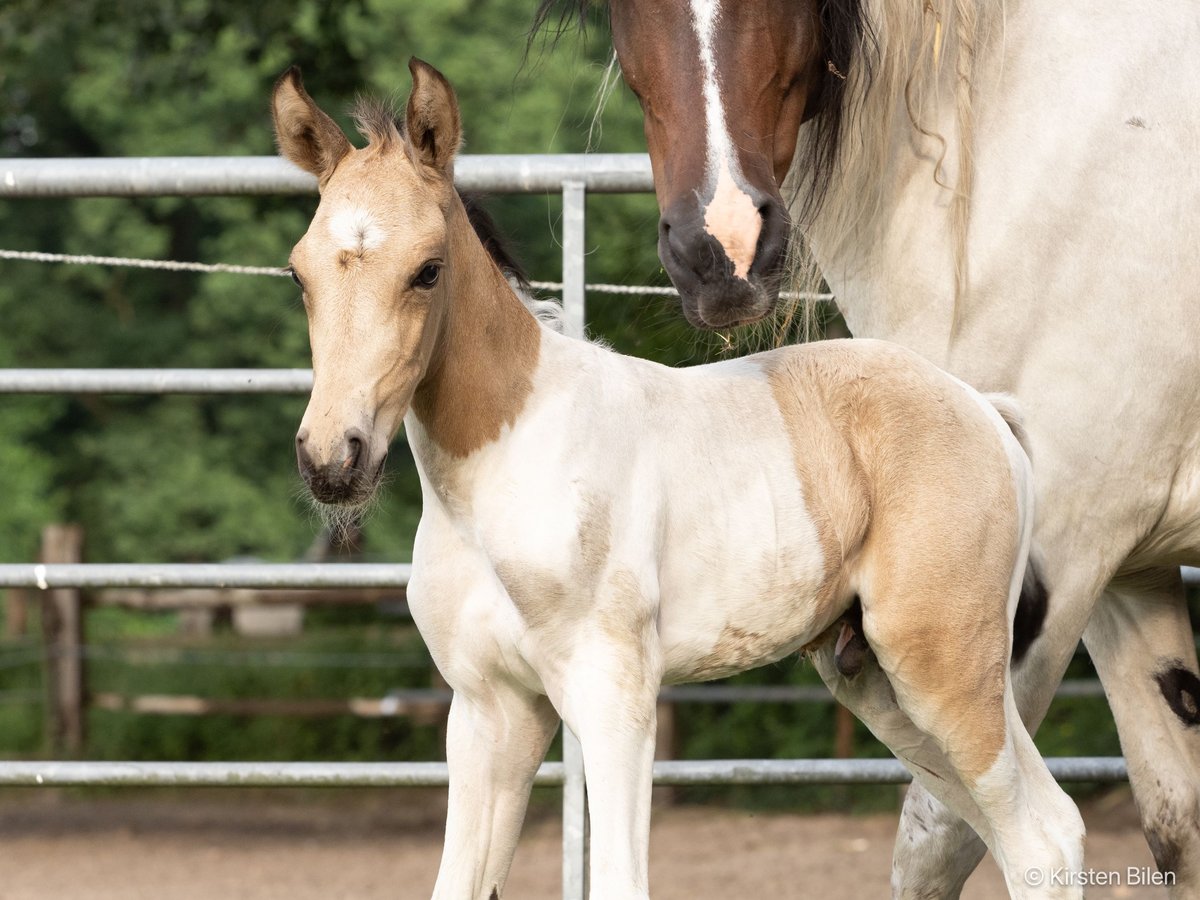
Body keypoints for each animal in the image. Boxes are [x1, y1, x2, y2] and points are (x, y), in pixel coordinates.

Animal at [272, 61, 1089, 900]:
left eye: (428, 270)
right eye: (298, 273)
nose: (333, 460)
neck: (501, 470)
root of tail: (986, 411)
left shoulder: (613, 697)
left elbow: (618, 879)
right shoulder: (489, 709)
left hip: (945, 670)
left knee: (1035, 833)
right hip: (878, 682)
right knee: (1038, 830)